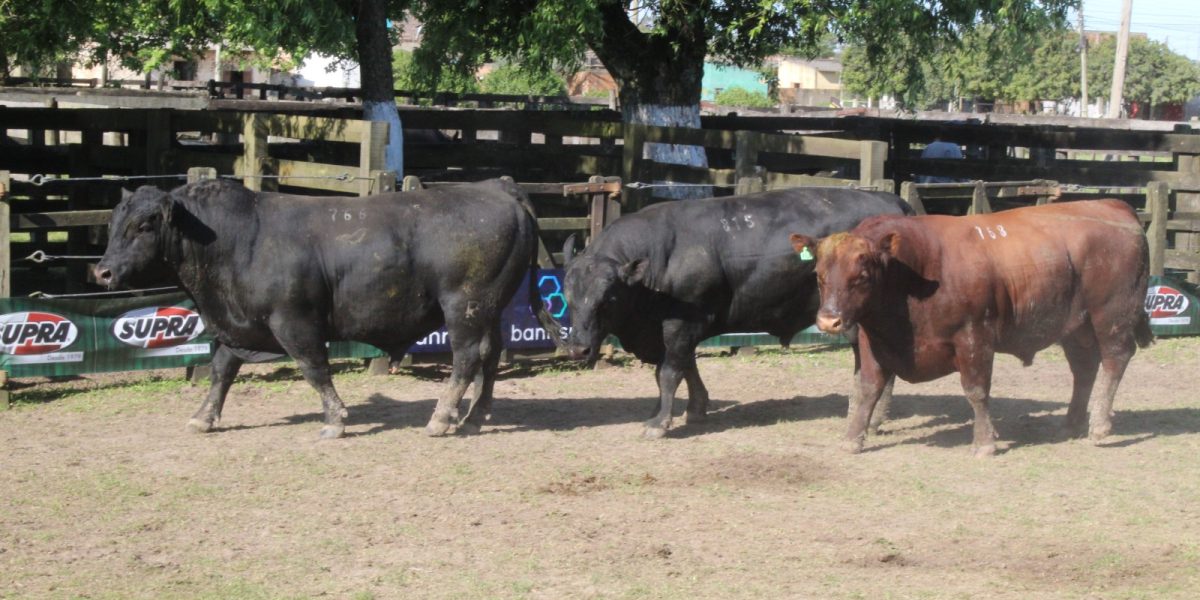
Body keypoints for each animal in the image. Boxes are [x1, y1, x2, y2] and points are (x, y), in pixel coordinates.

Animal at [93, 176, 561, 436]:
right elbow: (222, 368)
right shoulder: (242, 325)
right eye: (114, 222)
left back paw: (442, 418)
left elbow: (314, 368)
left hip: (464, 306)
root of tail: (497, 187)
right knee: (491, 355)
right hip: (491, 307)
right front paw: (204, 417)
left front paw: (335, 419)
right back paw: (476, 416)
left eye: (144, 225)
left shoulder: (293, 321)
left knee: (466, 358)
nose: (103, 272)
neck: (238, 239)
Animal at [792, 199, 1147, 456]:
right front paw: (853, 438)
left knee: (1114, 360)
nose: (829, 320)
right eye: (819, 275)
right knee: (1084, 369)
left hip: (1111, 316)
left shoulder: (974, 336)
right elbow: (867, 388)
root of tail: (1114, 206)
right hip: (1076, 328)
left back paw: (1099, 426)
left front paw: (985, 442)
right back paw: (1071, 423)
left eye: (862, 277)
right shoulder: (873, 340)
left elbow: (976, 390)